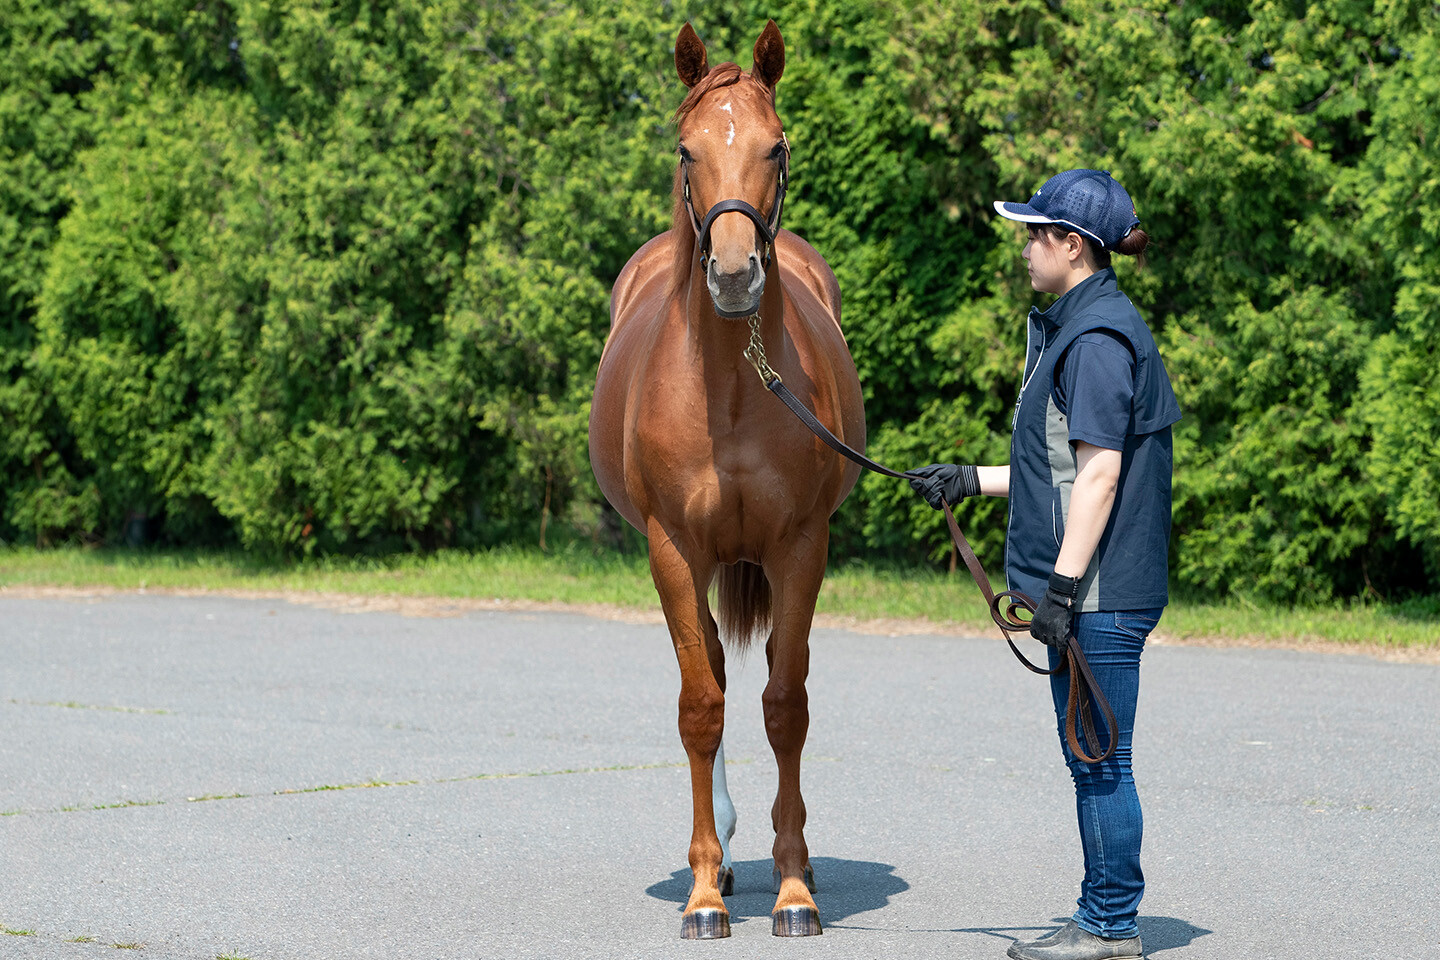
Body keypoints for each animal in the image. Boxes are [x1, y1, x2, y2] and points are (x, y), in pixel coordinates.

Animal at [587, 20, 858, 938]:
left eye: (776, 146)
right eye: (686, 148)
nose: (735, 274)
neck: (735, 386)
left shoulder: (800, 548)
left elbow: (786, 704)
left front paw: (795, 889)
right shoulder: (673, 549)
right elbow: (701, 707)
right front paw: (705, 893)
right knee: (707, 663)